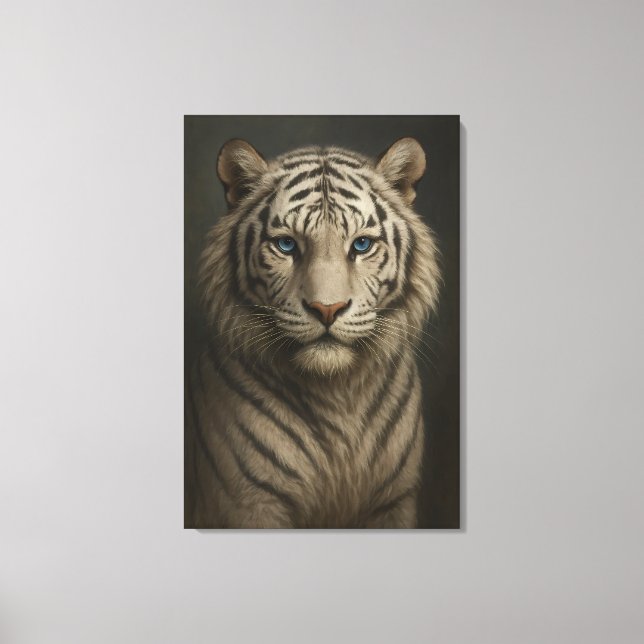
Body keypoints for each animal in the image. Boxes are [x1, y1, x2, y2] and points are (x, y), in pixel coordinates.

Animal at [185, 137, 441, 528]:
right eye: (286, 245)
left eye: (361, 245)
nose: (327, 309)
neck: (337, 394)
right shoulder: (251, 503)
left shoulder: (394, 502)